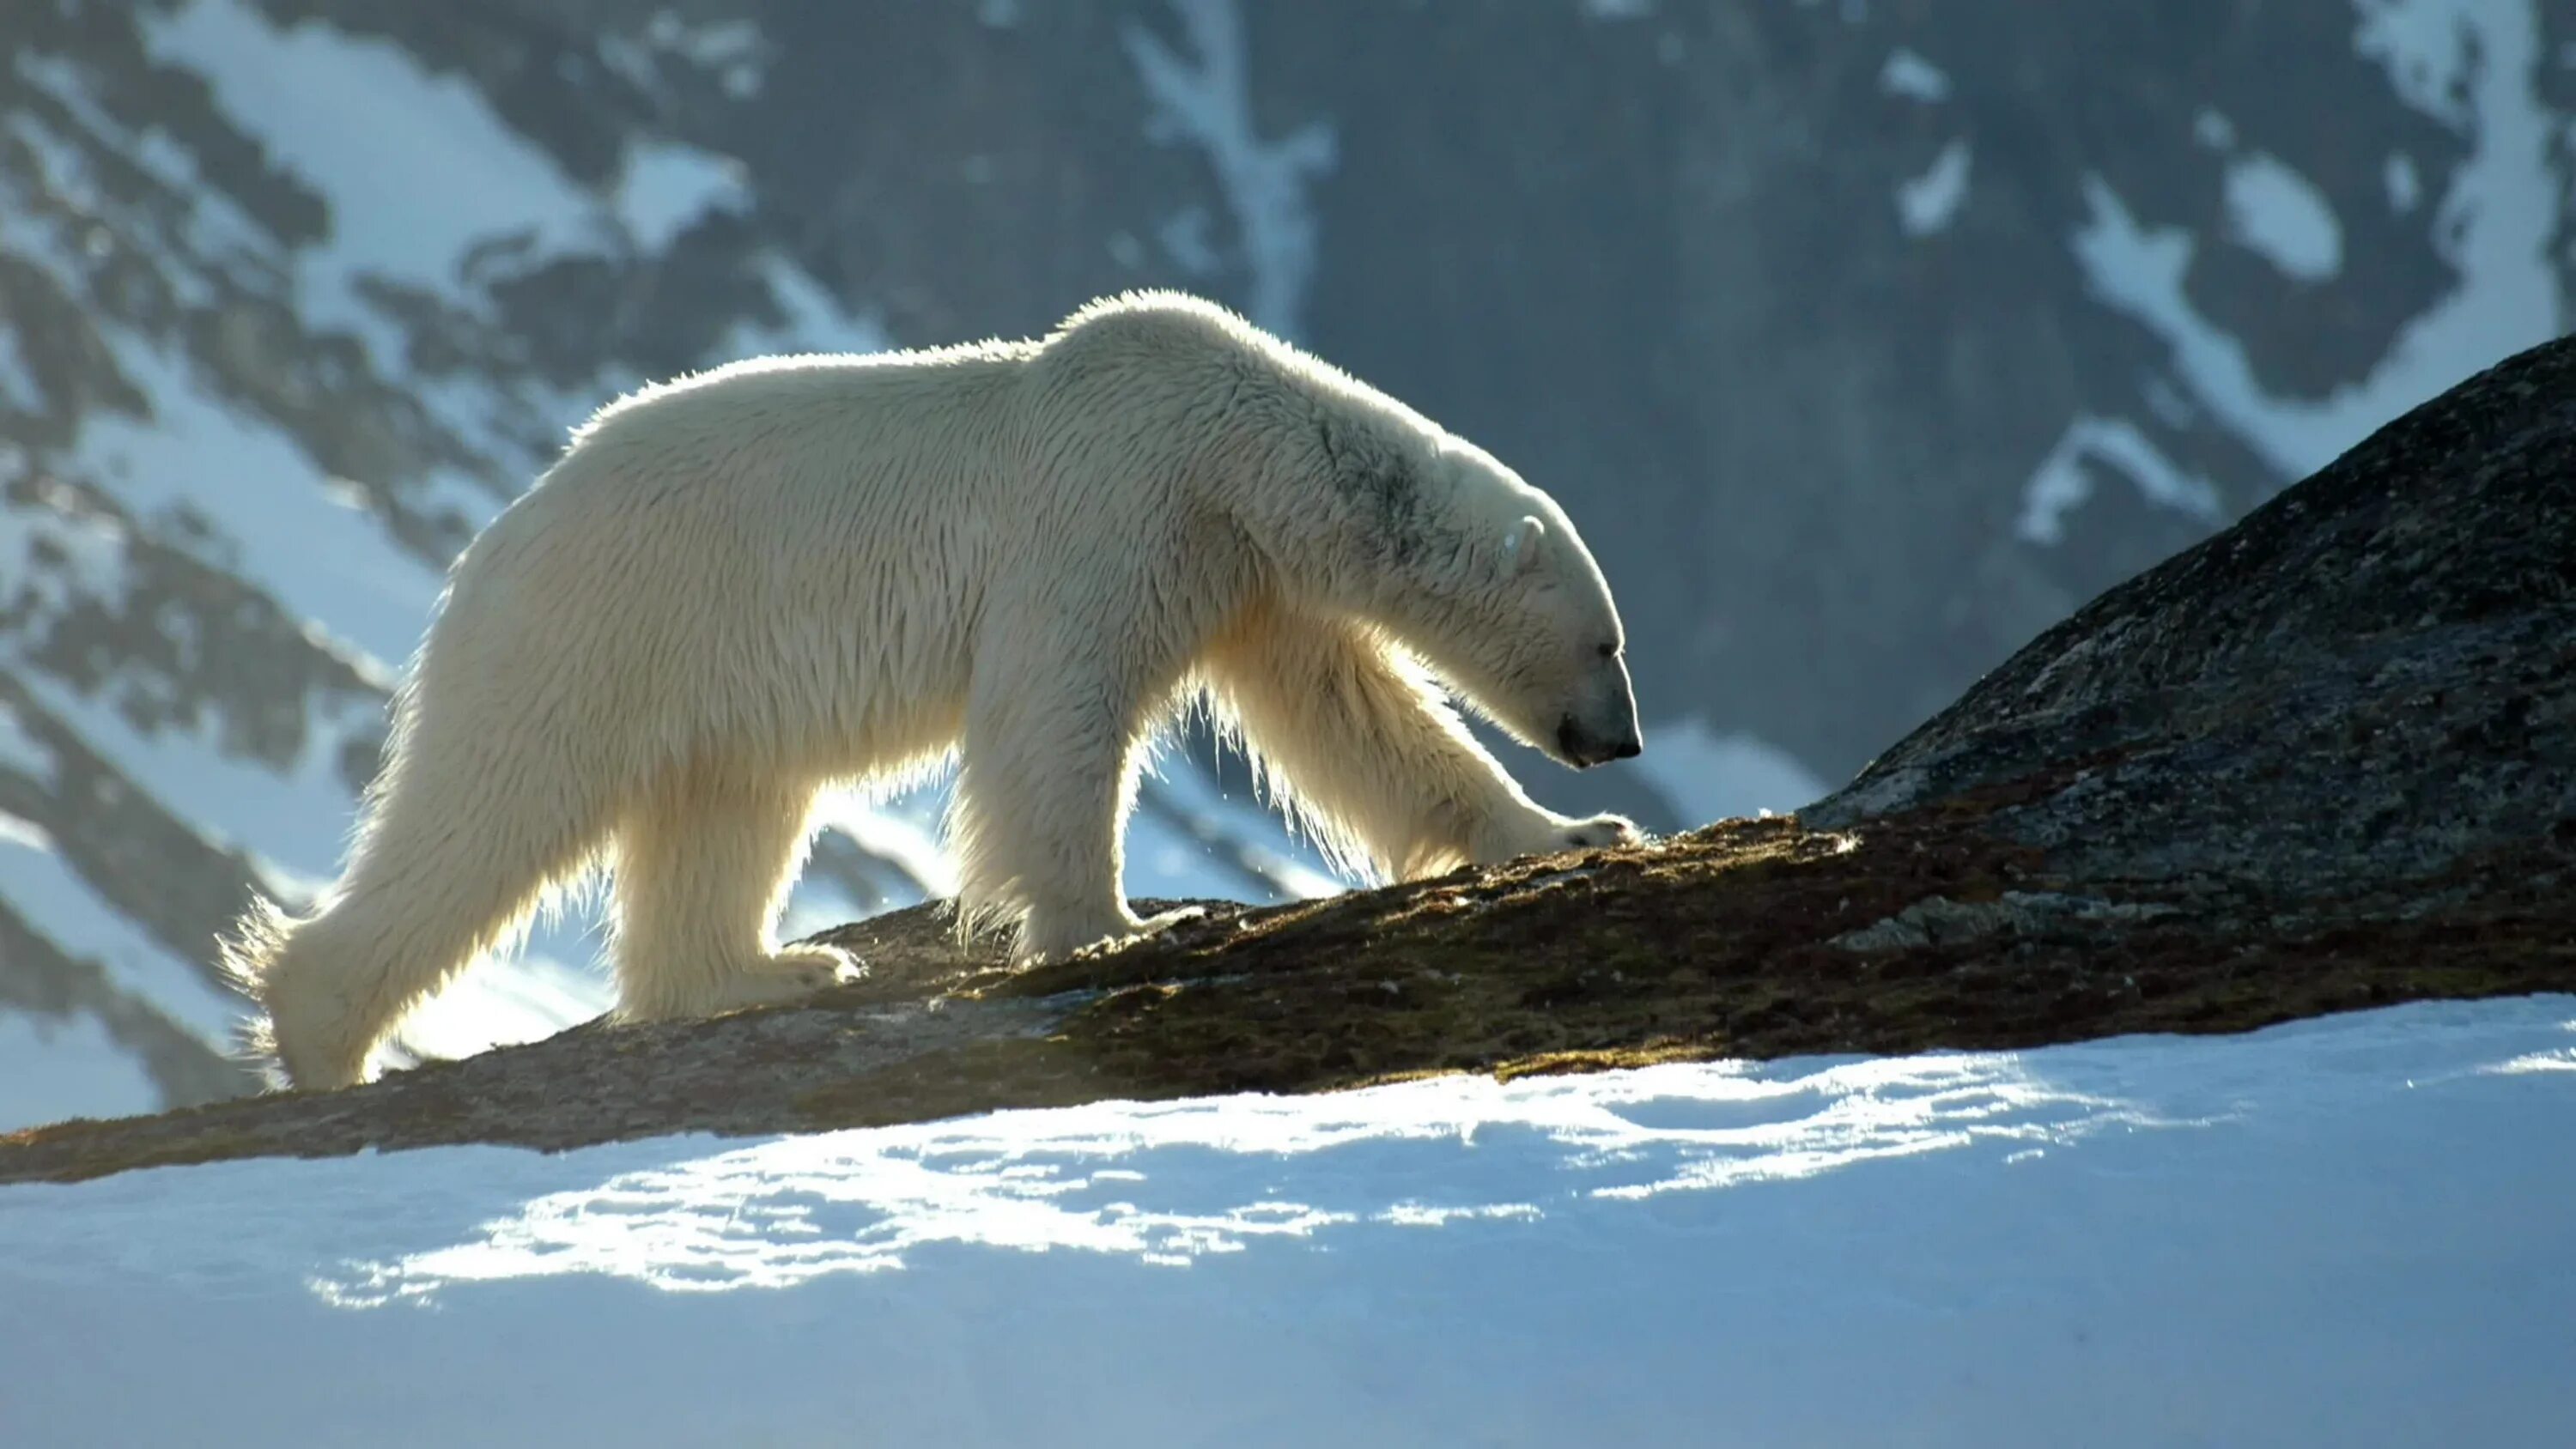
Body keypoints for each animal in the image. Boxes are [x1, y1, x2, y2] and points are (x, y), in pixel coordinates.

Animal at [237, 292, 1649, 1091]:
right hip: (603, 627)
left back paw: (780, 969)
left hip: (710, 680)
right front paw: (1130, 925)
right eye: (1608, 643)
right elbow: (1056, 710)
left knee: (727, 812)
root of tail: (501, 529)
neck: (1232, 442)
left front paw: (1574, 832)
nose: (1623, 744)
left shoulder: (1244, 573)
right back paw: (319, 1027)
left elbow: (1358, 718)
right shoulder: (1114, 510)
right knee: (496, 802)